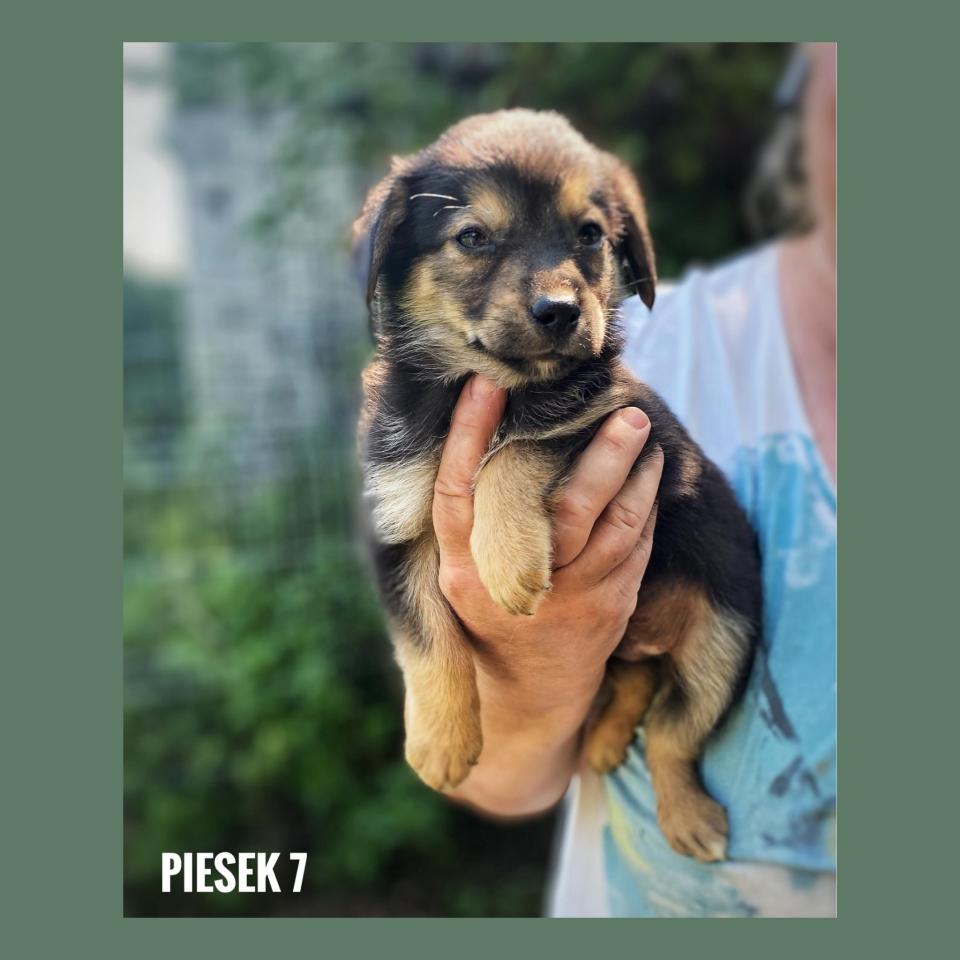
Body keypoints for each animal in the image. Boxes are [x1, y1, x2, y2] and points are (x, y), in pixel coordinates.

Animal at [353, 109, 761, 862]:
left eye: (590, 234)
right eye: (473, 237)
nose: (560, 312)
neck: (490, 386)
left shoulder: (627, 424)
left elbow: (520, 448)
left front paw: (507, 560)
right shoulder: (393, 523)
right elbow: (426, 640)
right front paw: (441, 744)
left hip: (725, 640)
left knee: (673, 733)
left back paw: (689, 816)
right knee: (637, 681)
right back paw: (601, 744)